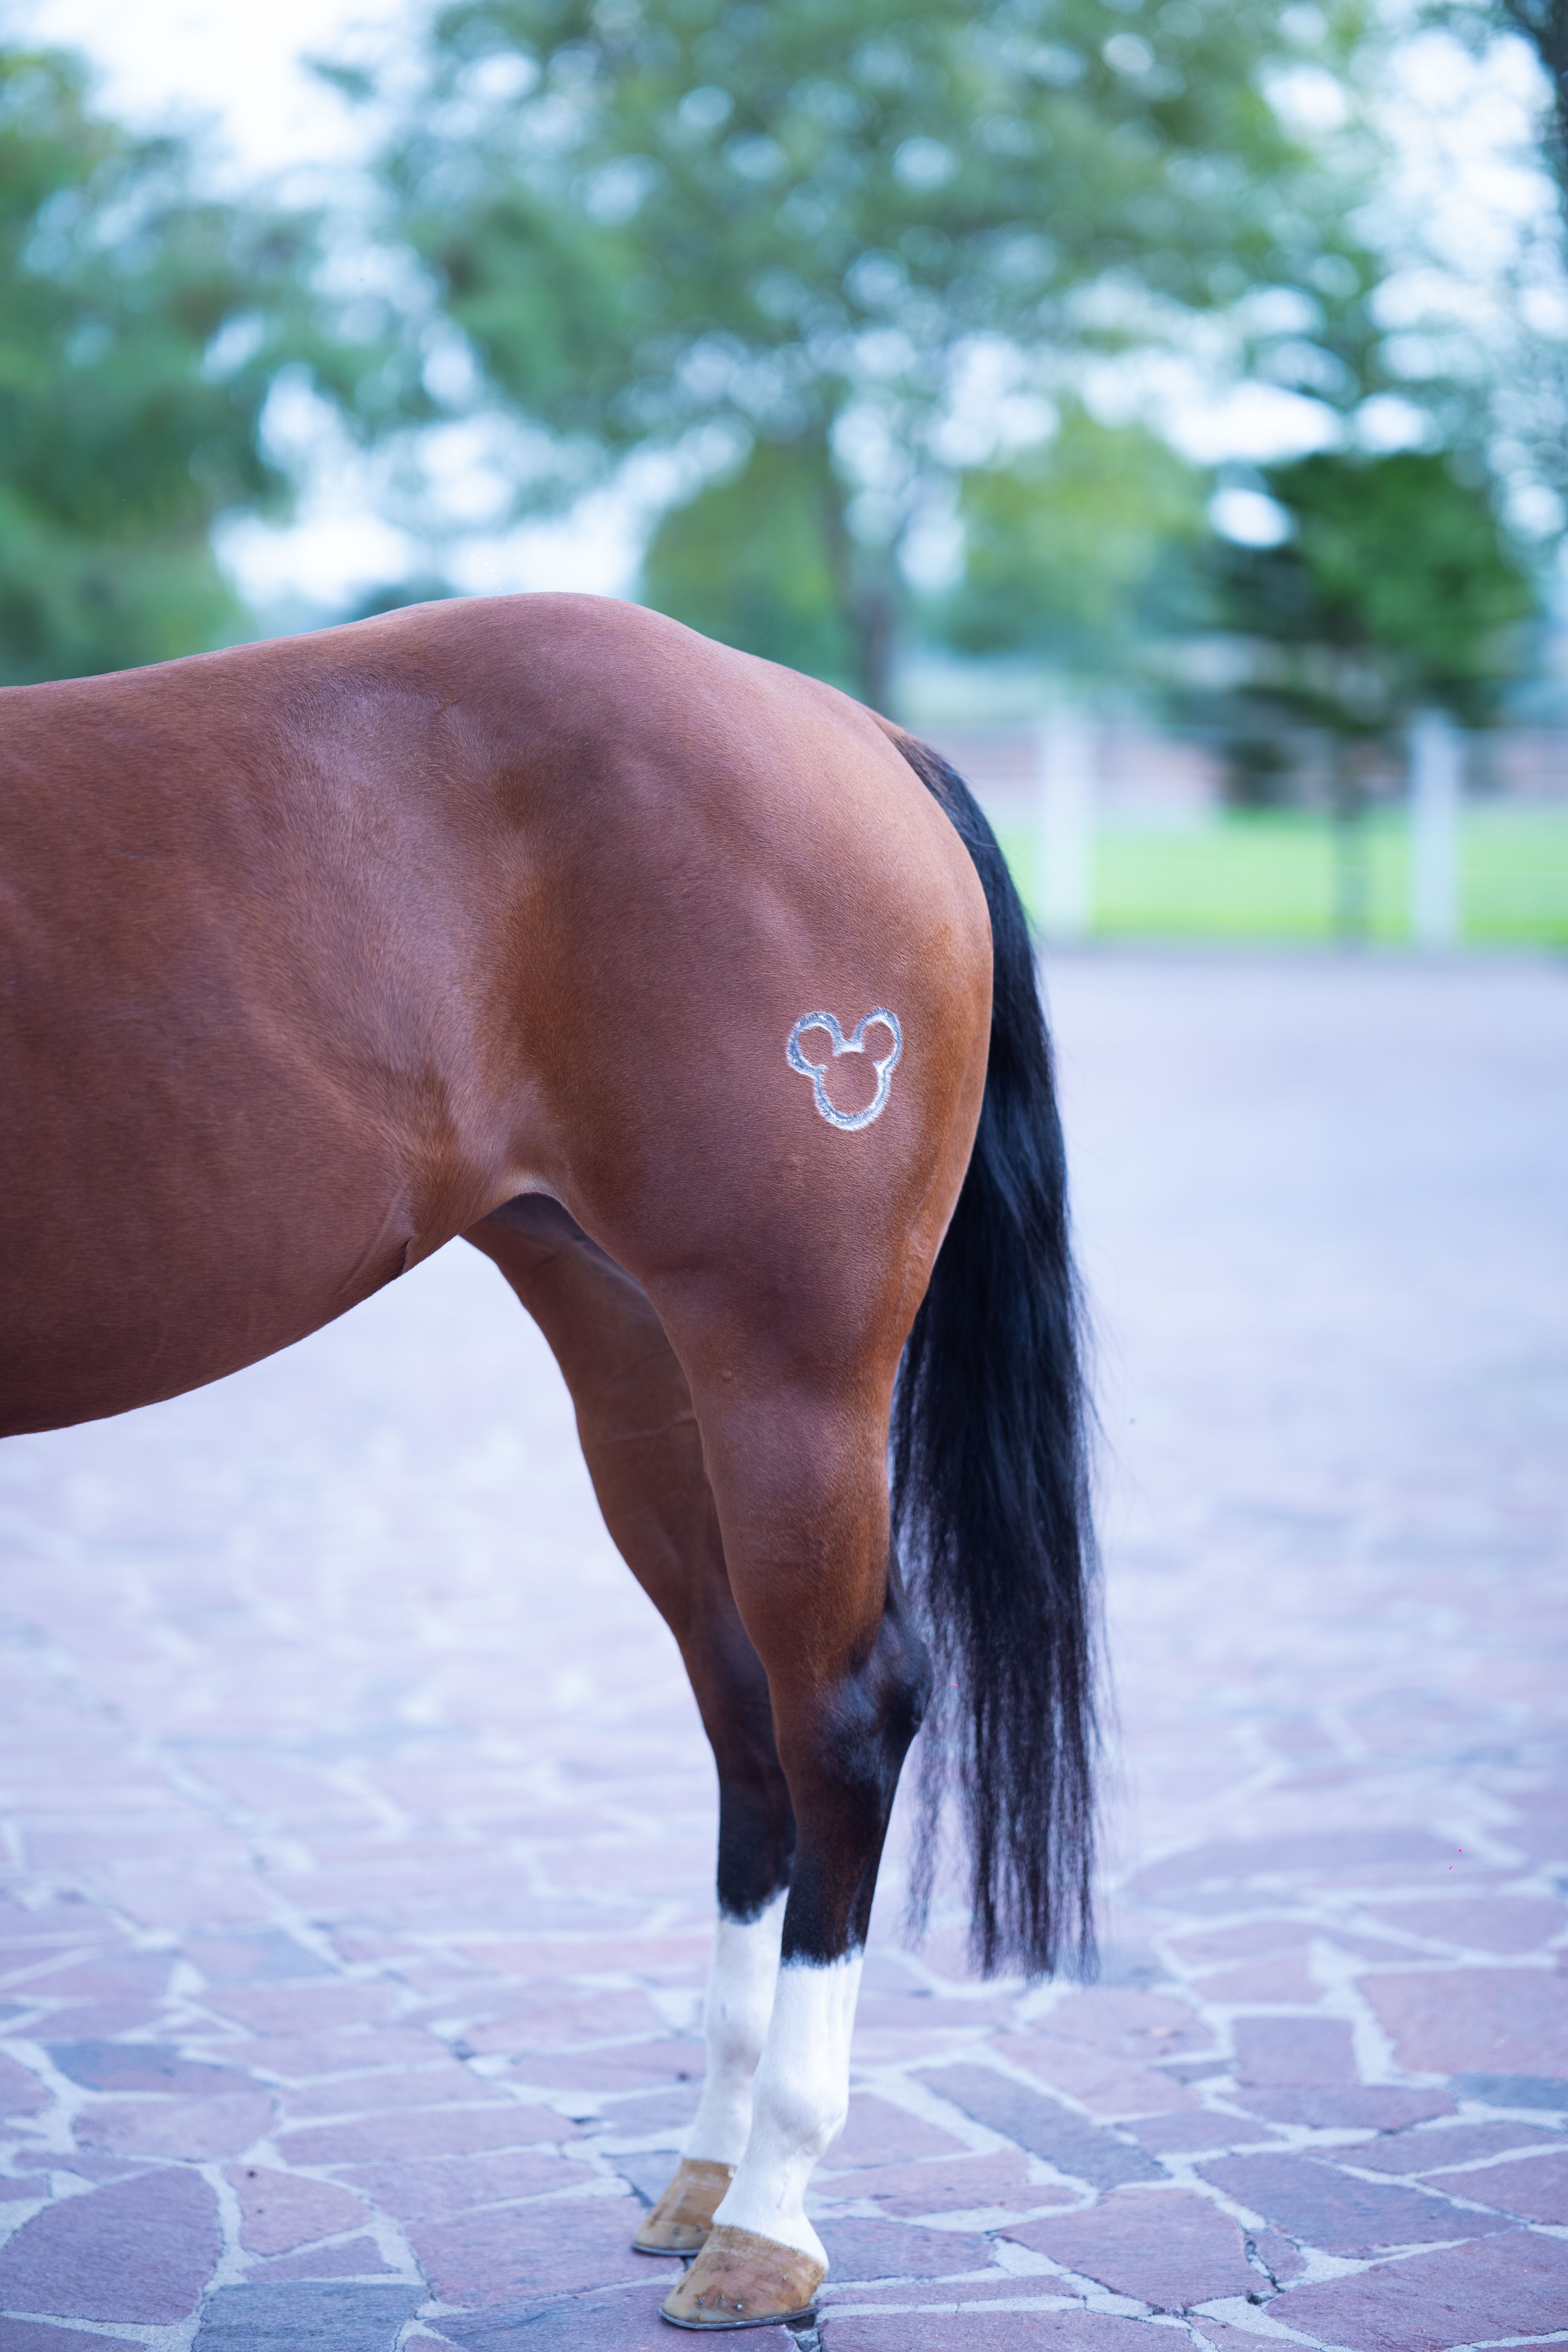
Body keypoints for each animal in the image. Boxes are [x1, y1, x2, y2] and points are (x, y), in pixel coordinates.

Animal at [0, 594, 1096, 2330]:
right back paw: (709, 2170)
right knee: (745, 1715)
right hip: (637, 1354)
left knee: (845, 1715)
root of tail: (853, 731)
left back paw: (768, 2220)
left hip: (790, 1364)